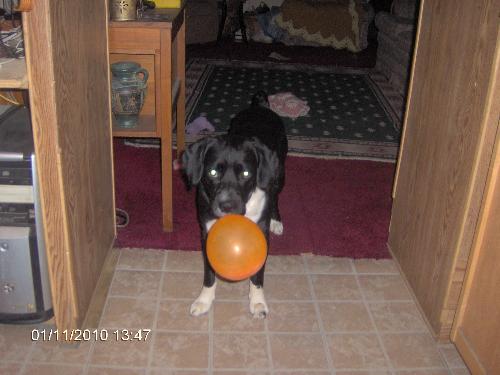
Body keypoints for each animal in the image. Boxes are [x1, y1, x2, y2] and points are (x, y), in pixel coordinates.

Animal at [182, 92, 288, 318]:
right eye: (213, 172)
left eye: (246, 173)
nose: (227, 205)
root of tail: (260, 105)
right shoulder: (207, 233)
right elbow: (209, 272)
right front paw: (204, 300)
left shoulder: (260, 233)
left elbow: (257, 274)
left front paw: (258, 302)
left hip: (279, 171)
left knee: (275, 194)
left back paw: (276, 220)